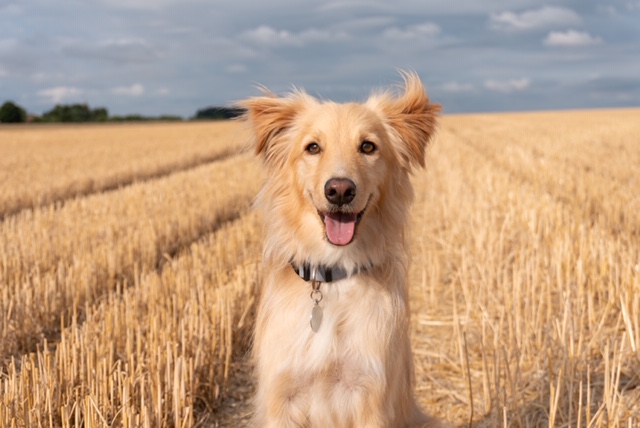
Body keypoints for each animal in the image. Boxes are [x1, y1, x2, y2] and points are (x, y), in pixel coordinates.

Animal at [240, 72, 444, 426]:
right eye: (313, 147)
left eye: (368, 146)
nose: (339, 190)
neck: (331, 278)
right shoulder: (282, 397)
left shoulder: (372, 397)